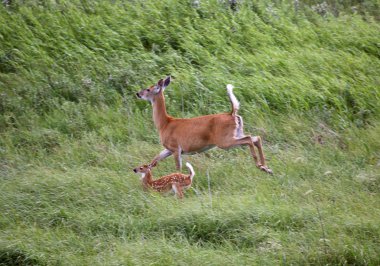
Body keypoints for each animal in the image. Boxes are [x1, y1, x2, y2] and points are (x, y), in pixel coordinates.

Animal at [135, 76, 272, 174]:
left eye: (148, 89)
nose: (138, 93)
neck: (165, 124)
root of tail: (232, 113)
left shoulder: (175, 147)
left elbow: (177, 167)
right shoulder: (168, 149)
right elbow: (154, 160)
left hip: (224, 140)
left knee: (249, 139)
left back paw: (260, 165)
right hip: (237, 133)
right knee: (256, 138)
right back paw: (266, 168)